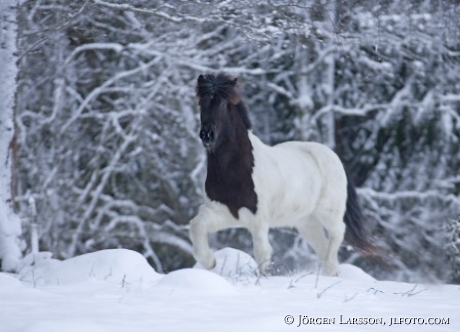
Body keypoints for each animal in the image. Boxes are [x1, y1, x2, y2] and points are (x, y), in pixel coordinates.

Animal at [189, 74, 376, 276]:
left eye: (223, 104)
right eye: (201, 103)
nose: (207, 135)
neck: (234, 172)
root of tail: (333, 156)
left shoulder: (259, 219)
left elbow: (262, 252)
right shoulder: (223, 211)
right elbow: (196, 226)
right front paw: (210, 262)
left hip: (329, 212)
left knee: (337, 233)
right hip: (306, 222)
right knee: (322, 246)